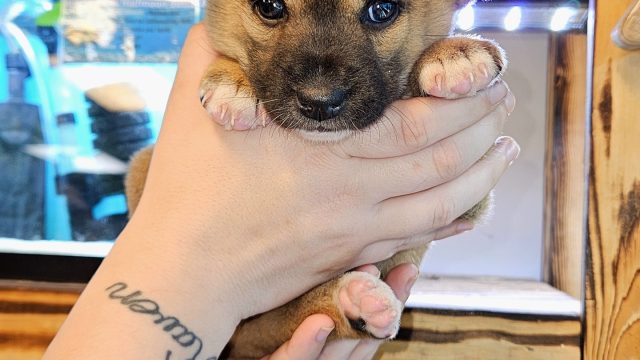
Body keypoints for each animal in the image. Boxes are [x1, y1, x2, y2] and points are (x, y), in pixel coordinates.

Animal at [125, 0, 504, 358]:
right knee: (261, 330)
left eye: (382, 9)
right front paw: (231, 81)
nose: (320, 103)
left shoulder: (468, 194)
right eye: (269, 7)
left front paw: (451, 54)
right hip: (141, 164)